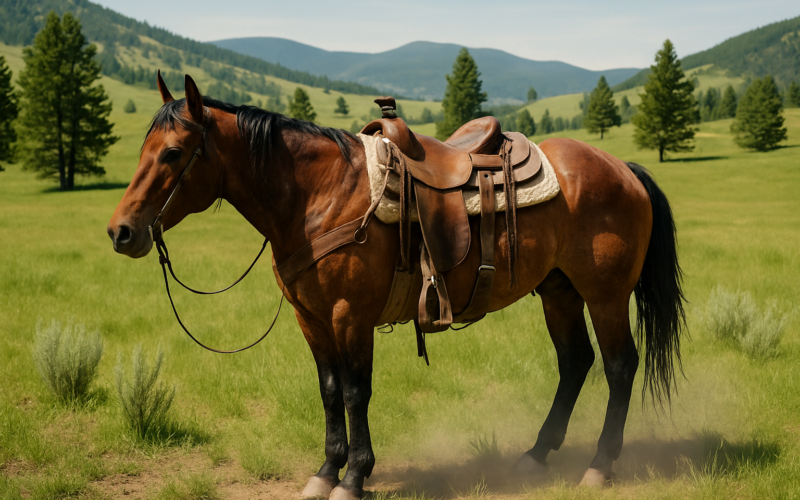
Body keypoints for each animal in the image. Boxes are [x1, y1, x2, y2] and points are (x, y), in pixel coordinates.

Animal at [107, 74, 685, 500]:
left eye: (174, 152)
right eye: (143, 150)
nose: (122, 231)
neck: (318, 196)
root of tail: (621, 167)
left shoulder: (350, 315)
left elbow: (355, 392)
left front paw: (355, 476)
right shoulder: (310, 318)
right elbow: (329, 390)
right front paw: (326, 471)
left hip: (605, 295)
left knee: (619, 365)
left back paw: (600, 464)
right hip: (559, 291)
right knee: (575, 363)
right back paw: (537, 454)